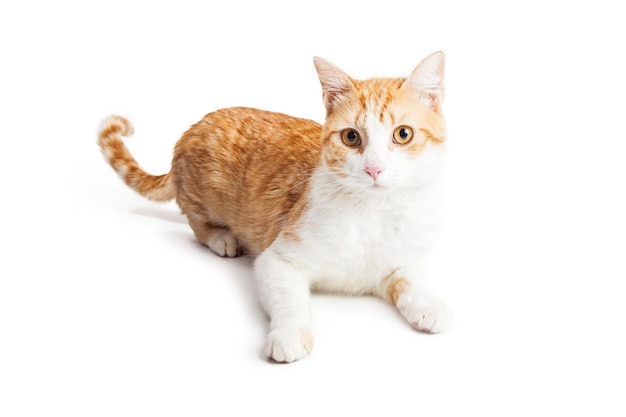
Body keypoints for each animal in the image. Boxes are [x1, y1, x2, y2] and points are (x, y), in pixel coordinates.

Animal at [96, 52, 448, 362]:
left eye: (402, 134)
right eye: (351, 137)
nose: (374, 169)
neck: (374, 210)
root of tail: (194, 128)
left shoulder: (400, 263)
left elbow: (410, 282)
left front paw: (428, 305)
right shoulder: (278, 260)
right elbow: (290, 301)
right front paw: (290, 334)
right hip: (202, 193)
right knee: (196, 221)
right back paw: (221, 238)